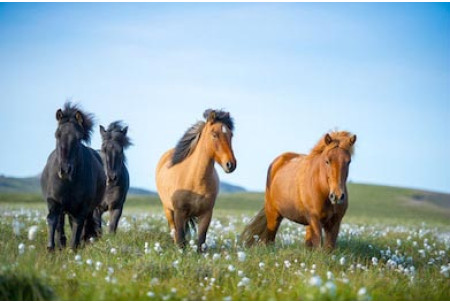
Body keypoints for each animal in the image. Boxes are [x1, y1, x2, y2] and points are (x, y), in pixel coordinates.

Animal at [40, 103, 105, 251]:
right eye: (57, 135)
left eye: (78, 137)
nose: (64, 170)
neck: (68, 183)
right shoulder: (53, 202)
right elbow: (52, 221)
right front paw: (51, 249)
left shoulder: (82, 207)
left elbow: (77, 226)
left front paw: (72, 248)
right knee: (60, 223)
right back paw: (61, 244)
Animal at [156, 109, 237, 252]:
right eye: (214, 134)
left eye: (231, 135)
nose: (230, 164)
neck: (195, 180)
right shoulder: (179, 212)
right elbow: (181, 239)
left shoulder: (206, 214)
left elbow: (201, 241)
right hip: (168, 210)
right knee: (174, 232)